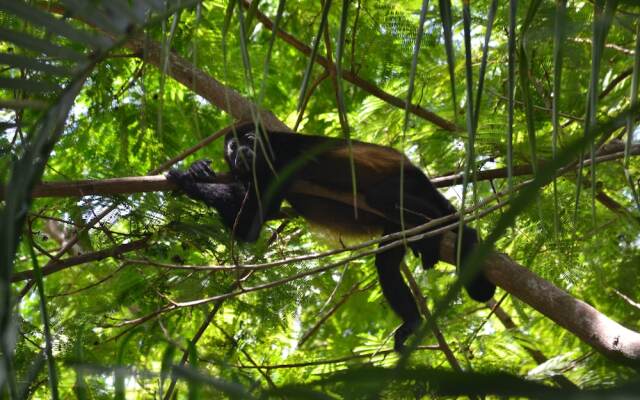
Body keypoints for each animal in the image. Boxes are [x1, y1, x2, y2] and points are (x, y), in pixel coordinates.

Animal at [169, 122, 496, 350]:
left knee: (385, 197)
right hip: (394, 226)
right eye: (231, 147)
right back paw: (413, 317)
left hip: (410, 182)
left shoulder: (281, 157)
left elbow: (256, 218)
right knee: (386, 263)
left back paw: (449, 231)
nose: (240, 152)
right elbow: (248, 227)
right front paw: (195, 172)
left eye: (248, 140)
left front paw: (186, 179)